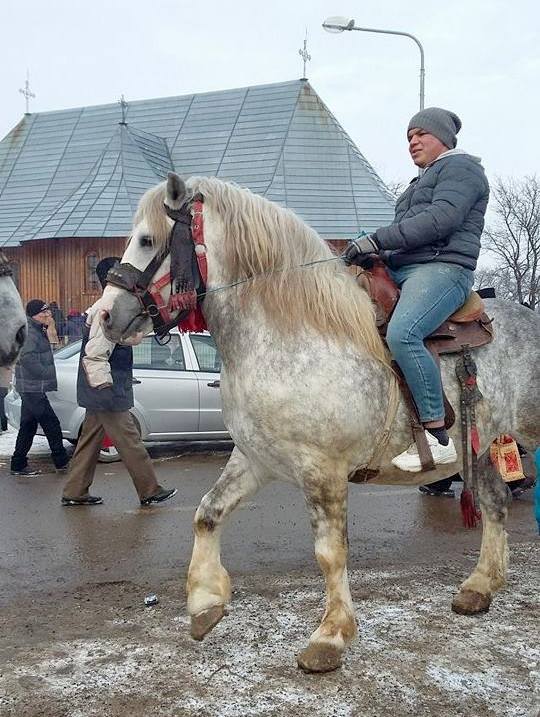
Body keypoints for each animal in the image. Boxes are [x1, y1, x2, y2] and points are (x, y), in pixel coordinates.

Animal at [100, 172, 540, 672]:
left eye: (146, 239)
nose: (104, 315)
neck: (290, 335)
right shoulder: (255, 458)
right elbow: (207, 514)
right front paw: (205, 604)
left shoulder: (323, 471)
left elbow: (330, 553)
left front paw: (329, 636)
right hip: (479, 447)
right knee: (495, 503)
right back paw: (479, 587)